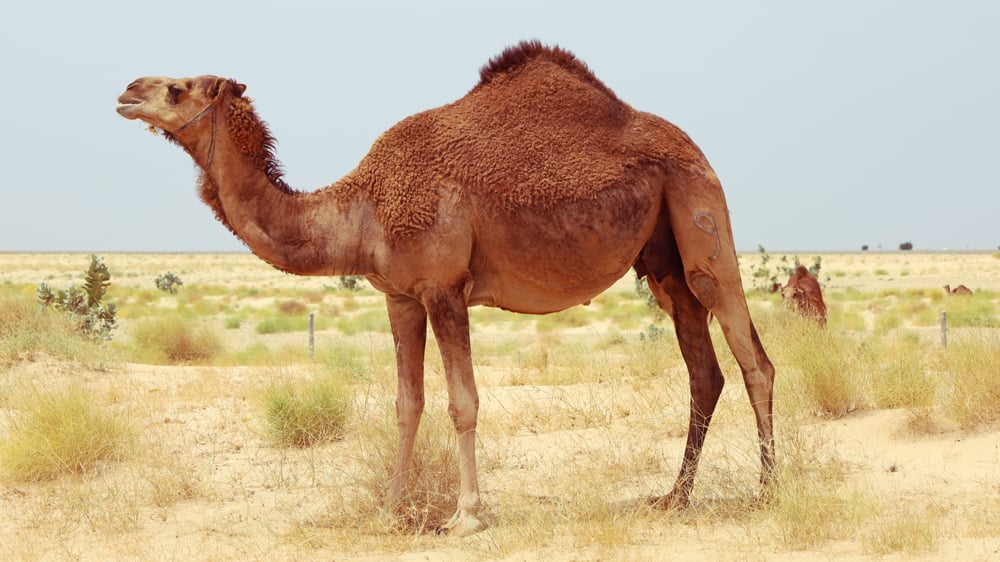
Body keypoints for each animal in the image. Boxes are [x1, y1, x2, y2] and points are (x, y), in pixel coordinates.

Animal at [116, 40, 775, 536]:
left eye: (179, 89)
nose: (127, 91)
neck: (361, 208)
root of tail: (693, 149)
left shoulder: (444, 288)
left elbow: (463, 403)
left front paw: (467, 516)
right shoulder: (399, 295)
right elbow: (407, 404)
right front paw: (390, 510)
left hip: (700, 213)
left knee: (752, 357)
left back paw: (768, 489)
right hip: (661, 263)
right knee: (703, 371)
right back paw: (674, 497)